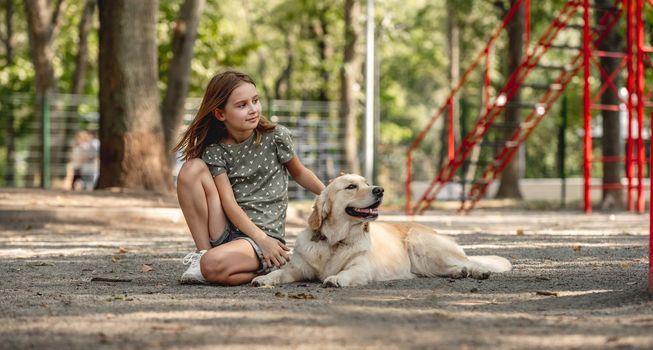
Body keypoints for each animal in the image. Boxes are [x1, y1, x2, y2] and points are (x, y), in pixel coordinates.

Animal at [252, 174, 512, 286]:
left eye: (367, 183)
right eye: (351, 186)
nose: (380, 190)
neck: (335, 240)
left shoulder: (360, 268)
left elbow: (347, 273)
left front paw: (335, 279)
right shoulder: (298, 268)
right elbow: (280, 272)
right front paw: (264, 278)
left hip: (422, 244)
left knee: (471, 261)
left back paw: (477, 272)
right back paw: (459, 273)